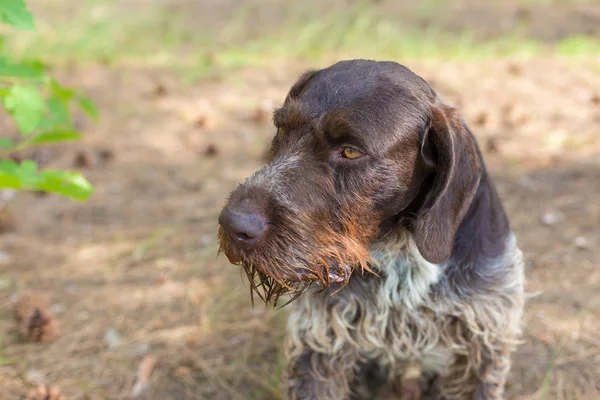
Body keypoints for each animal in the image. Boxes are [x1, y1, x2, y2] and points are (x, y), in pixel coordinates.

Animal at [218, 60, 524, 400]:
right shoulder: (322, 344)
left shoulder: (481, 345)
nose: (233, 224)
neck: (398, 244)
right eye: (281, 129)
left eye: (351, 152)